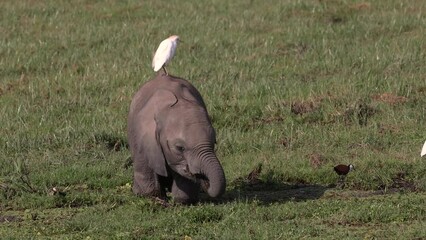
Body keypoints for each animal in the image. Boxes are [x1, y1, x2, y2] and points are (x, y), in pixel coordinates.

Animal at [126, 73, 226, 204]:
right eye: (180, 148)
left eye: (214, 142)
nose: (205, 182)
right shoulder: (142, 138)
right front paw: (152, 197)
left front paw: (180, 201)